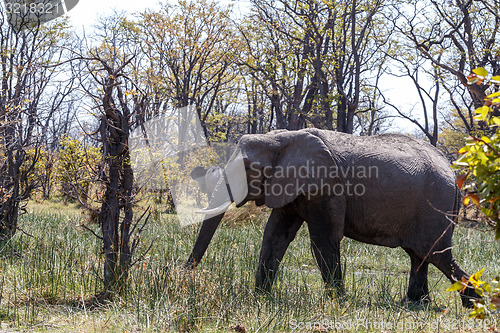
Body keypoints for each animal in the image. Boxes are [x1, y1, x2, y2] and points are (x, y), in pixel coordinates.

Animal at [186, 127, 478, 306]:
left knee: (436, 253)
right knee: (420, 255)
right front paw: (260, 297)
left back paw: (472, 301)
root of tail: (452, 173)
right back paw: (417, 304)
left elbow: (323, 239)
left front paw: (338, 301)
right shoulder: (291, 186)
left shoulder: (325, 186)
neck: (283, 137)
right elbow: (275, 236)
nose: (185, 274)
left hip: (435, 204)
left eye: (247, 169)